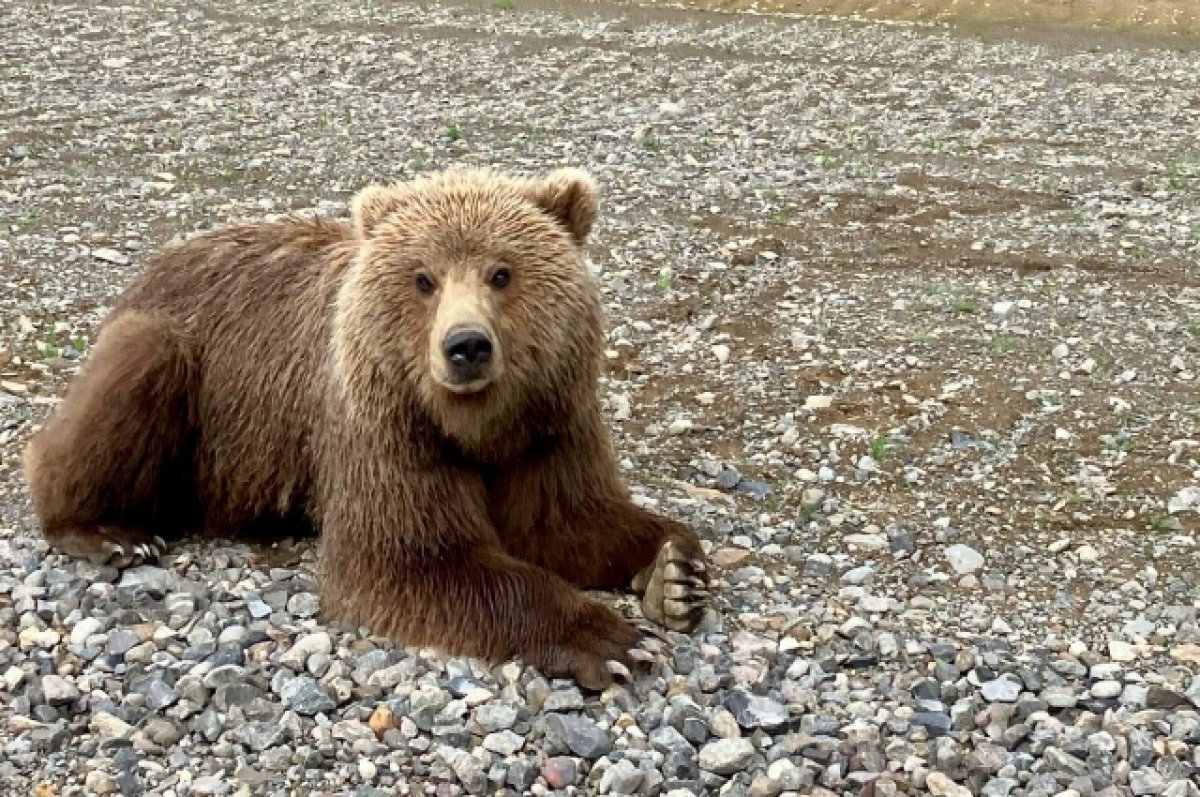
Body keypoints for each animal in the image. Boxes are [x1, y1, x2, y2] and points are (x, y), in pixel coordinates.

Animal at [23, 166, 710, 691]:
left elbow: (569, 520)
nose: (466, 346)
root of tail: (157, 261)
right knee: (130, 379)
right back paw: (107, 532)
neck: (475, 426)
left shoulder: (550, 422)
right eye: (424, 278)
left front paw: (675, 572)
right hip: (183, 358)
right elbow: (412, 558)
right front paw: (611, 639)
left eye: (502, 273)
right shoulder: (381, 426)